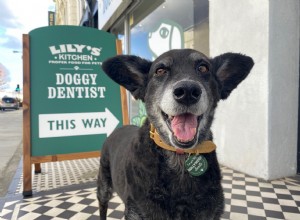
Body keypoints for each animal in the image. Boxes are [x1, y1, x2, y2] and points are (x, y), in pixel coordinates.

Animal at [98, 49, 253, 219]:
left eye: (203, 68)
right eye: (160, 71)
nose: (187, 91)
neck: (180, 157)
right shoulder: (137, 211)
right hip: (104, 186)